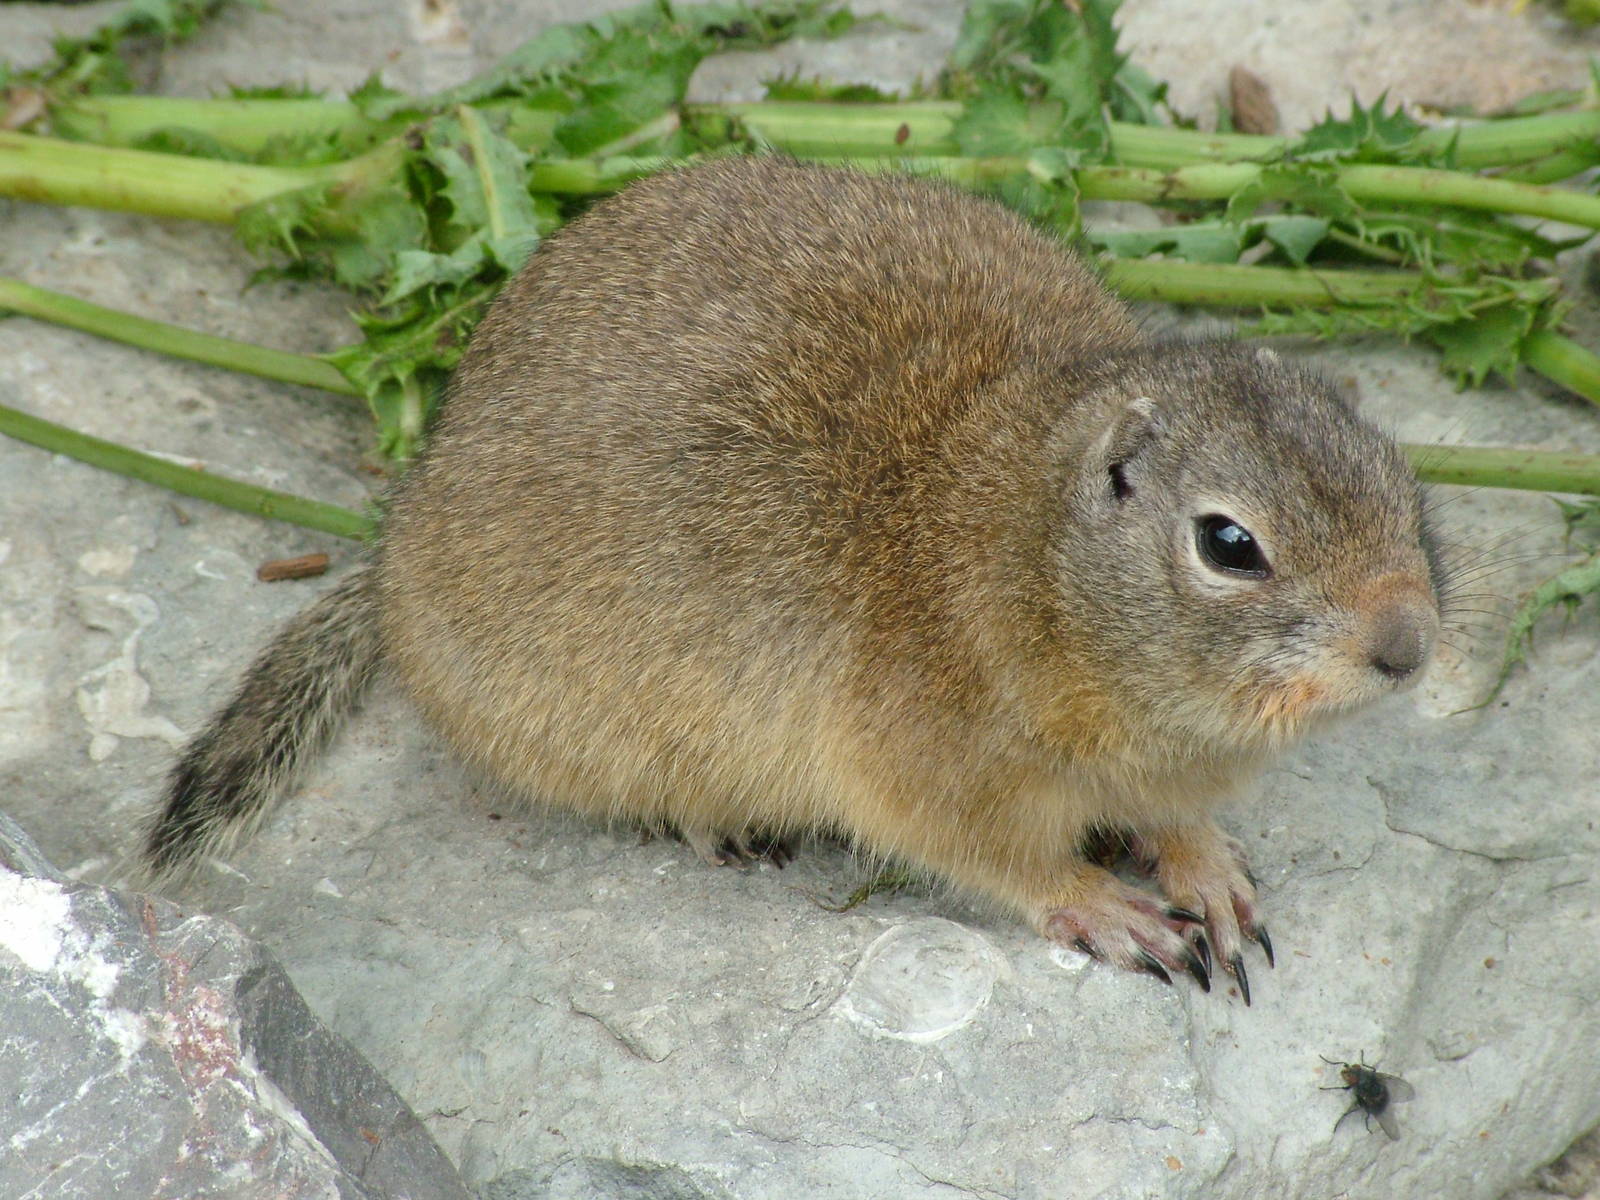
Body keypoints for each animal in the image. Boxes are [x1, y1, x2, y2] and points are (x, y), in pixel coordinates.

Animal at [143, 157, 1448, 1004]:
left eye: (1392, 465)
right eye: (1229, 543)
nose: (1408, 645)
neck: (1012, 554)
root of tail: (393, 551)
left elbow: (1176, 820)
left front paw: (1207, 876)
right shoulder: (925, 772)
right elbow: (1007, 861)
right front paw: (1119, 911)